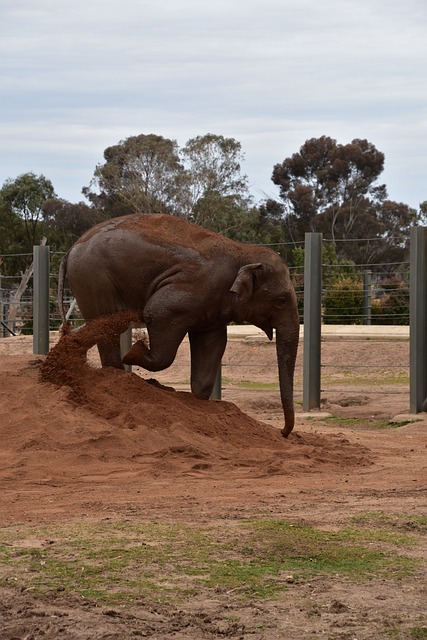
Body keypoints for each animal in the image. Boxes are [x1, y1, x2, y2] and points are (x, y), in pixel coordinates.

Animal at [58, 212, 300, 438]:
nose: (282, 432)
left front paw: (198, 401)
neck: (242, 252)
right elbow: (157, 312)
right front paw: (134, 351)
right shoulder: (191, 289)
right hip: (93, 277)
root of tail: (70, 250)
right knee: (107, 327)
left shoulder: (212, 308)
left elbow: (212, 343)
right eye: (281, 300)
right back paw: (116, 373)